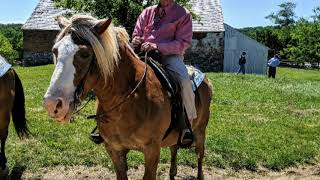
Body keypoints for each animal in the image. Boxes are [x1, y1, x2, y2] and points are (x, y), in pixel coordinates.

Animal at [42, 15, 212, 180]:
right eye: (55, 51)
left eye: (85, 54)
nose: (53, 104)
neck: (129, 101)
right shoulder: (115, 150)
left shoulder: (152, 151)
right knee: (174, 149)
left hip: (200, 131)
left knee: (200, 155)